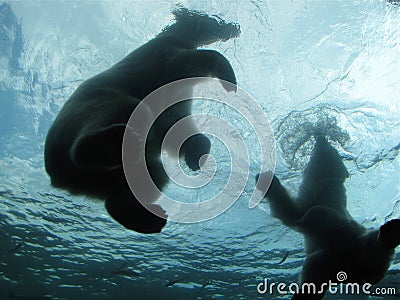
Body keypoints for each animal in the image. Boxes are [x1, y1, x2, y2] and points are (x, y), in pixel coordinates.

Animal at [45, 6, 239, 232]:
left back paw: (150, 218)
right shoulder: (163, 55)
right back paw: (114, 141)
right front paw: (230, 81)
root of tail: (61, 177)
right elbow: (194, 60)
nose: (234, 28)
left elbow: (177, 126)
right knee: (124, 117)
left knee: (144, 179)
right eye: (213, 21)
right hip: (98, 104)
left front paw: (197, 156)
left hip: (129, 168)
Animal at [256, 135, 400, 298]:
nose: (320, 137)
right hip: (327, 260)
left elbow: (296, 213)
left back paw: (391, 230)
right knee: (314, 275)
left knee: (375, 246)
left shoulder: (326, 210)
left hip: (357, 242)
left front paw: (265, 179)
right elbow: (292, 214)